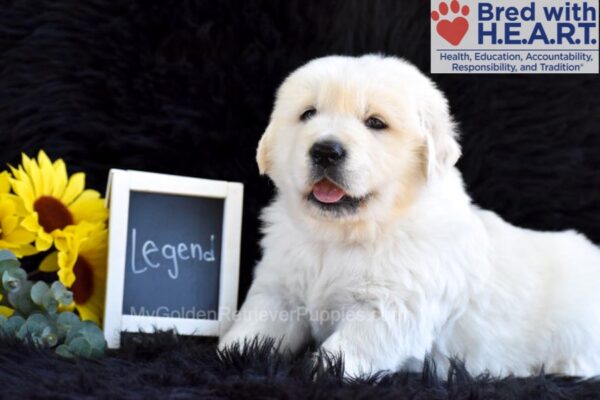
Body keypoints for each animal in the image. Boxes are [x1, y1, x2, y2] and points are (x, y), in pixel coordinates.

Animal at [219, 55, 600, 378]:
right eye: (308, 114)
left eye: (375, 123)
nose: (326, 150)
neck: (340, 237)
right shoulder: (279, 286)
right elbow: (259, 320)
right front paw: (236, 353)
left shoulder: (393, 306)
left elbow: (348, 347)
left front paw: (318, 371)